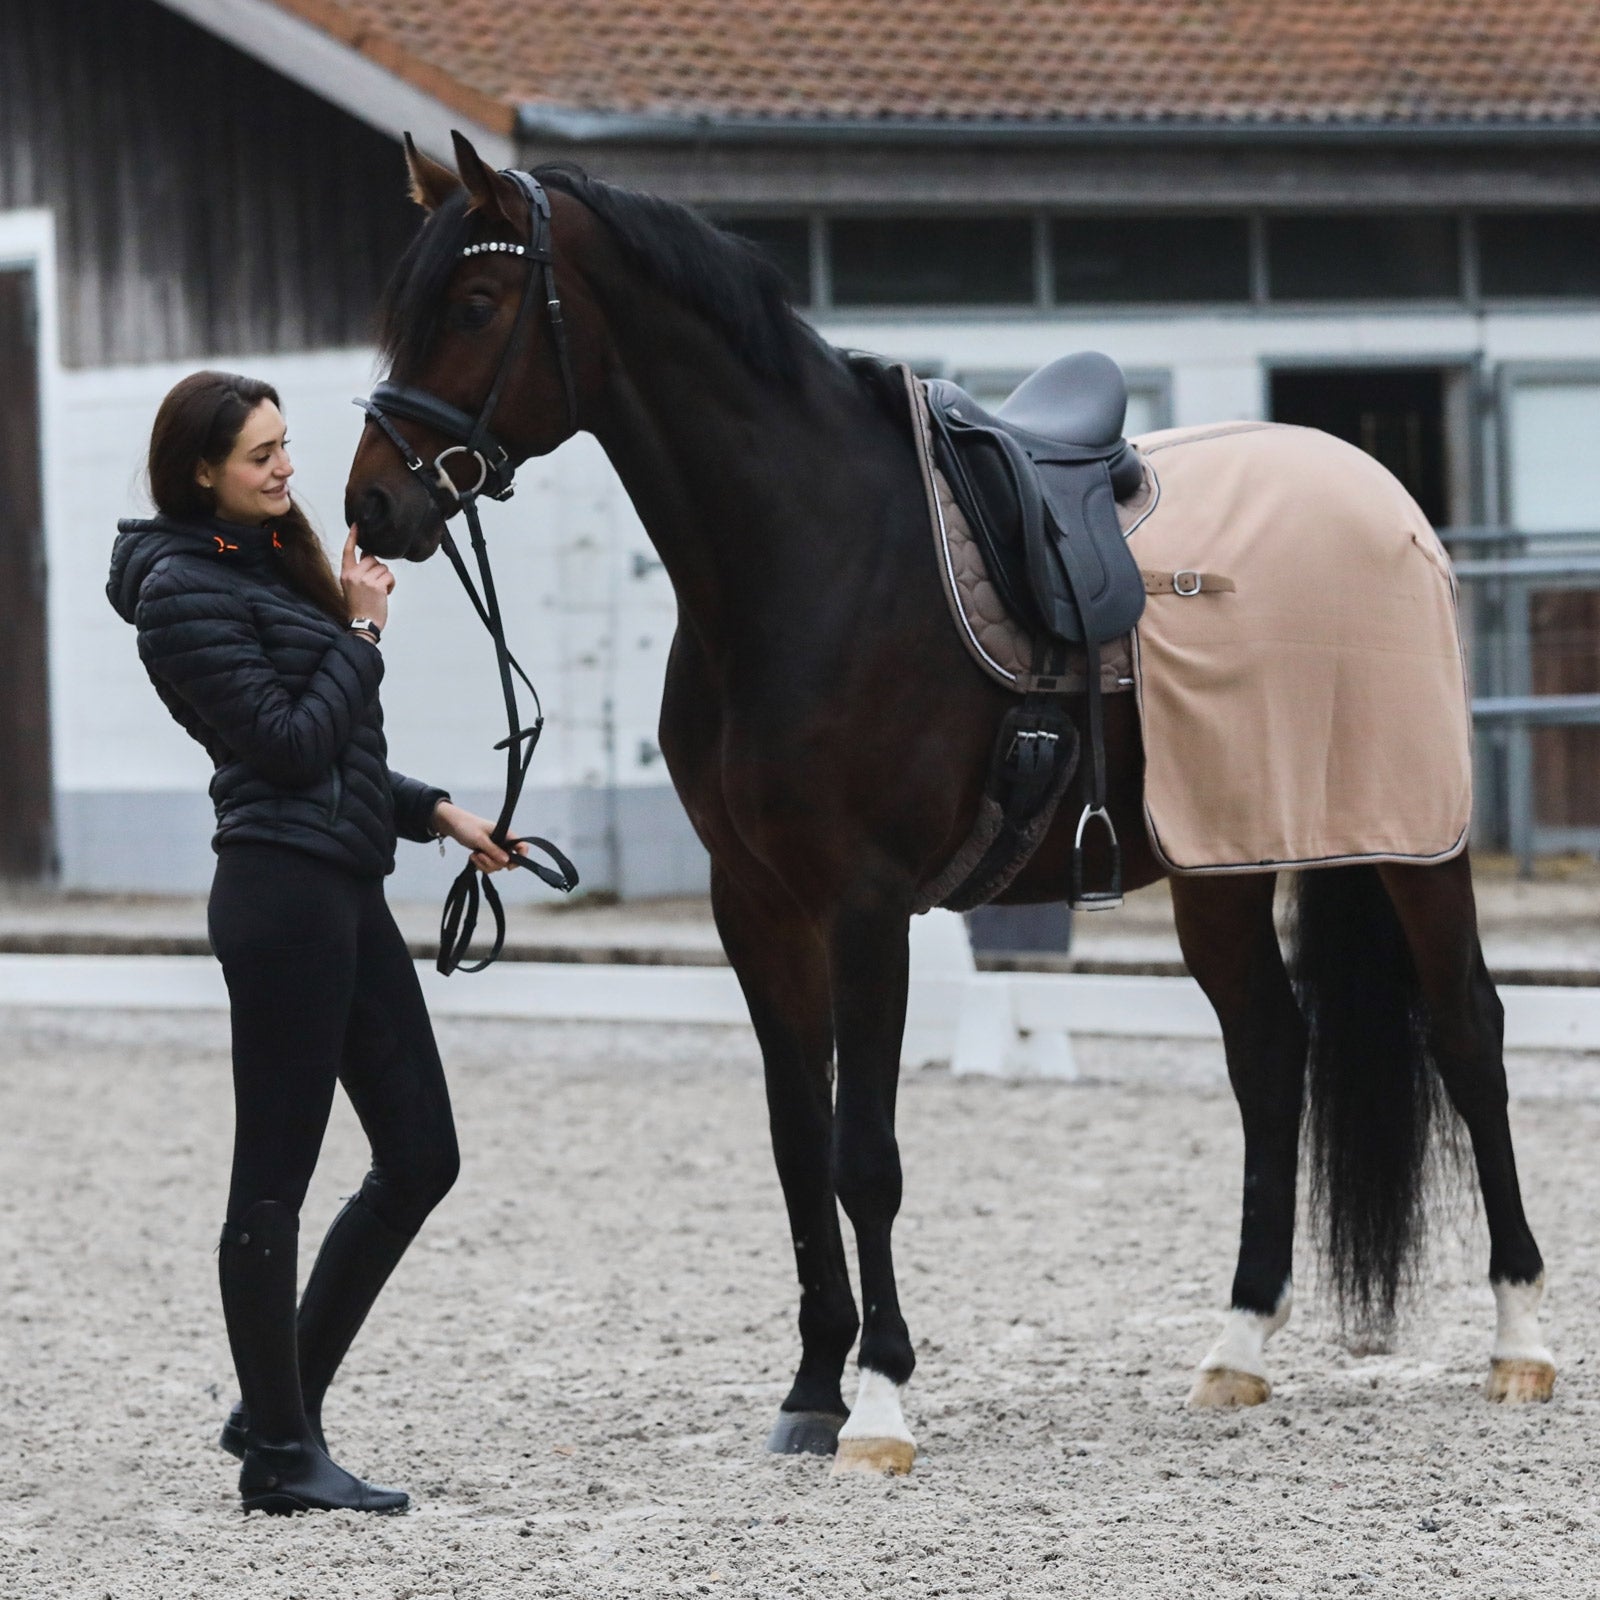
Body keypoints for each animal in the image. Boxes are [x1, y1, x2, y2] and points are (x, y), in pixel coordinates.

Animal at [343, 133, 1555, 1475]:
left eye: (475, 302)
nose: (371, 505)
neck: (811, 559)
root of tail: (1383, 495)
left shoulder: (866, 904)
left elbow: (865, 1155)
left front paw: (877, 1400)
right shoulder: (755, 907)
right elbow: (798, 1145)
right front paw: (811, 1387)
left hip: (1413, 840)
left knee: (1467, 1034)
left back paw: (1519, 1341)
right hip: (1218, 863)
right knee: (1267, 1054)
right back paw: (1236, 1346)